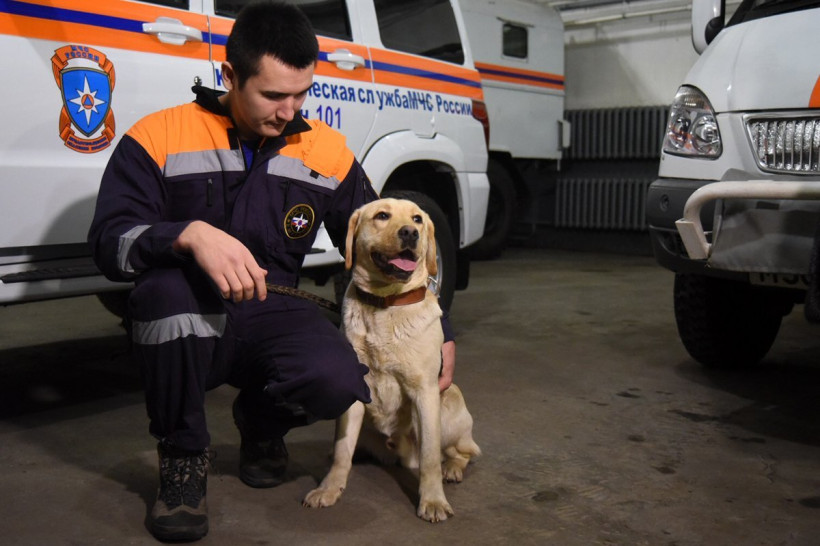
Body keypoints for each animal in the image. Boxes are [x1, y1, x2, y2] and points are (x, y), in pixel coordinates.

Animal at [303, 198, 480, 522]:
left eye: (418, 219)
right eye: (382, 215)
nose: (410, 232)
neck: (385, 303)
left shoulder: (426, 392)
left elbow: (430, 458)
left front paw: (433, 500)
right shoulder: (355, 391)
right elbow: (342, 451)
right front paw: (330, 488)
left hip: (449, 404)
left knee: (464, 452)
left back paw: (452, 468)